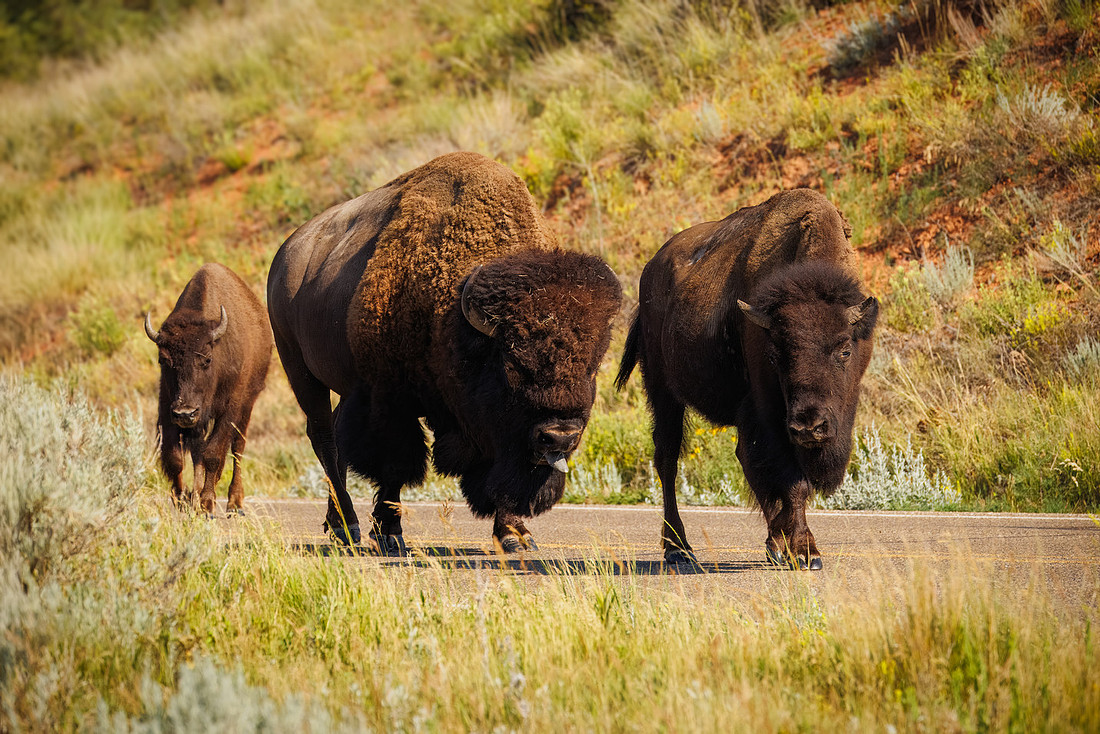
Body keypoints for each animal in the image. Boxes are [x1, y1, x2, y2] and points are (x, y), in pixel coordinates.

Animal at [145, 263, 273, 516]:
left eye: (206, 359)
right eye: (163, 360)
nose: (185, 413)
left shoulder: (230, 408)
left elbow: (213, 453)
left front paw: (206, 503)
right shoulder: (167, 406)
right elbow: (176, 456)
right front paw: (182, 499)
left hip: (247, 405)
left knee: (237, 448)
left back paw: (234, 502)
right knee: (197, 451)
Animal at [267, 152, 622, 553]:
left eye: (592, 366)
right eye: (511, 364)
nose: (560, 435)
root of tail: (285, 254)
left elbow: (502, 477)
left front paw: (515, 536)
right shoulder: (389, 400)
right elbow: (394, 467)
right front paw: (390, 534)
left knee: (337, 443)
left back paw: (338, 524)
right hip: (299, 368)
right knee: (325, 440)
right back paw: (348, 527)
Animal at [616, 189, 878, 569]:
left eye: (844, 350)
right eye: (775, 353)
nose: (809, 426)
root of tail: (650, 269)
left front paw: (786, 543)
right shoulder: (770, 413)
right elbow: (793, 481)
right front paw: (806, 551)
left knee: (739, 459)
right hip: (663, 391)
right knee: (667, 460)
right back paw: (679, 549)